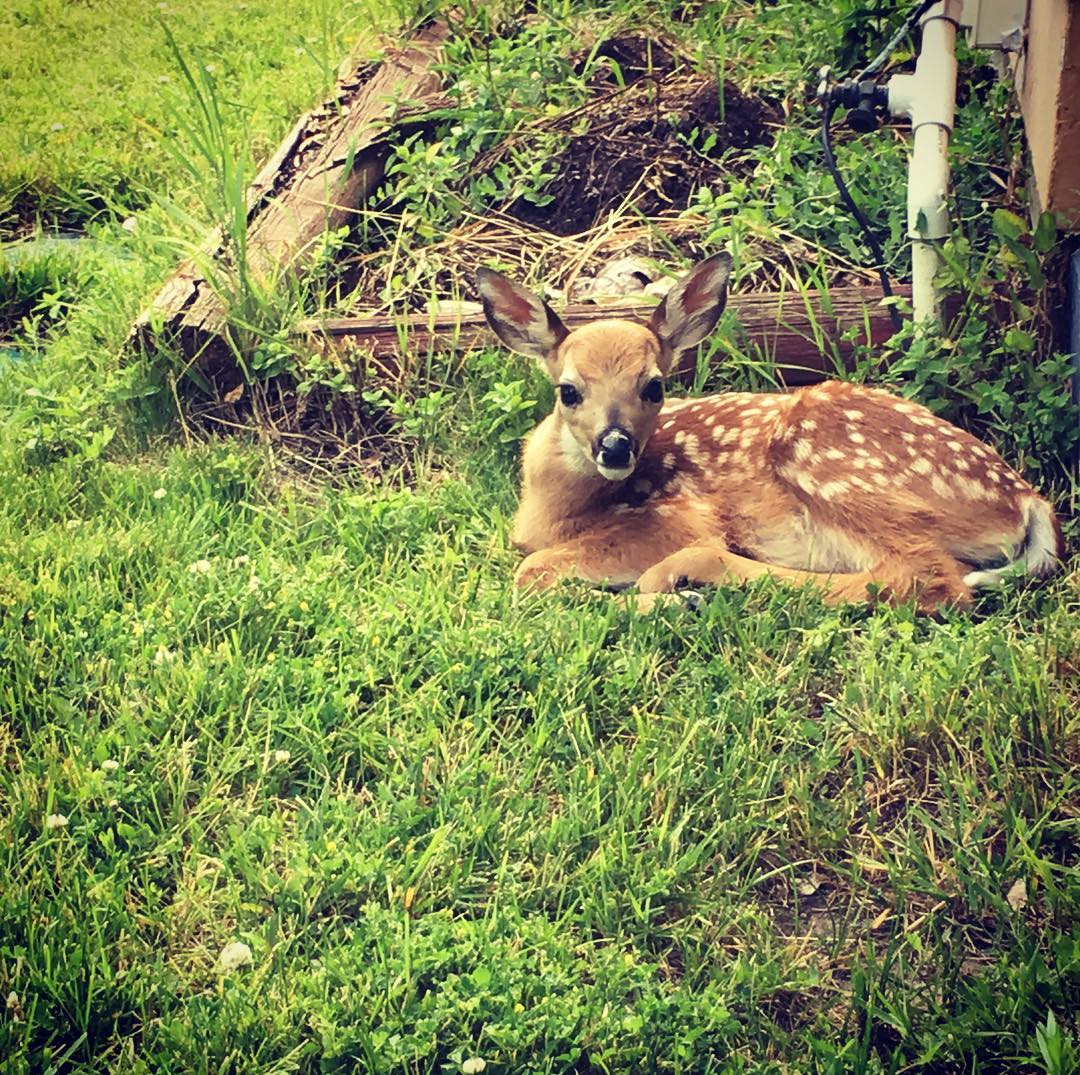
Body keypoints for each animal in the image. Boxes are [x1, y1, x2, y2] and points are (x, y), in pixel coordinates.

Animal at [475, 252, 1063, 612]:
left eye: (655, 386)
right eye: (568, 390)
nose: (616, 447)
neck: (555, 511)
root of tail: (1028, 499)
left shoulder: (676, 515)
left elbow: (530, 573)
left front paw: (658, 599)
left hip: (832, 465)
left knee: (929, 576)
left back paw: (687, 578)